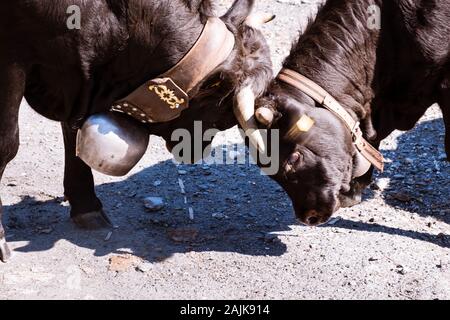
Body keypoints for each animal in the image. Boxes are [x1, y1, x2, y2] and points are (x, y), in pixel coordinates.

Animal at [0, 0, 272, 262]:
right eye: (224, 113)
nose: (198, 150)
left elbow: (72, 130)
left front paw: (85, 205)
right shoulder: (12, 60)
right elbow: (8, 144)